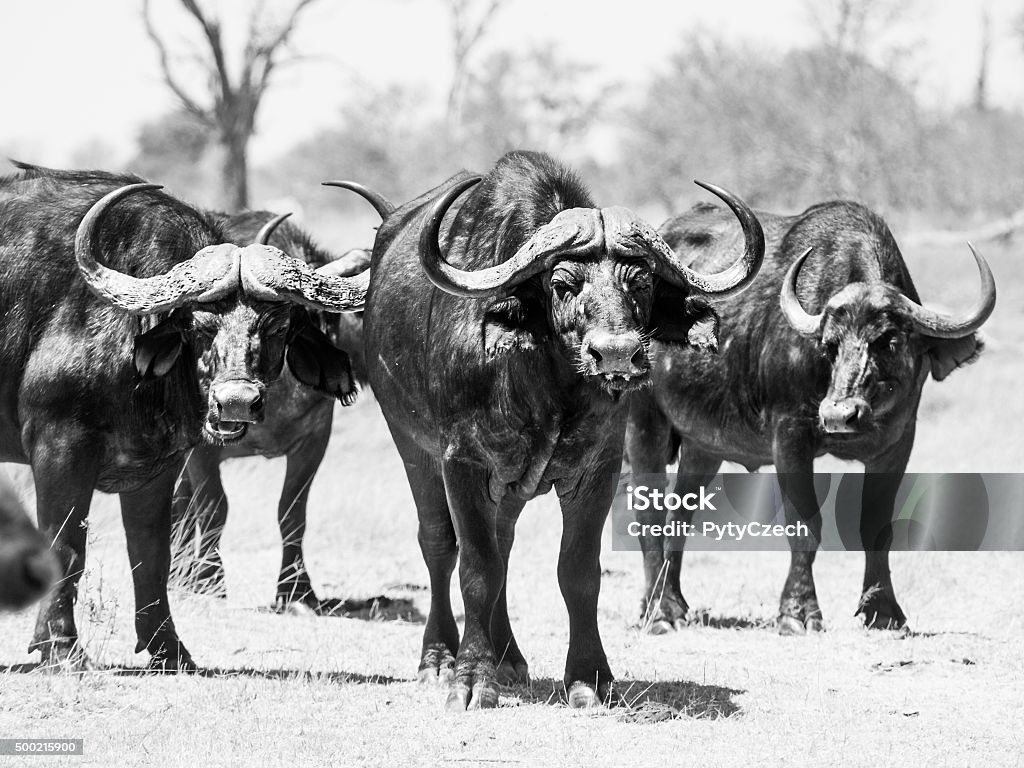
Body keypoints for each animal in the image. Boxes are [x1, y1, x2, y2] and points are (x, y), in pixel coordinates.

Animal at [171, 205, 371, 611]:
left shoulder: (314, 443)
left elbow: (292, 513)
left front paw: (297, 589)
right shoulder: (200, 452)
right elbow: (213, 509)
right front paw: (208, 582)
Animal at [347, 151, 764, 710]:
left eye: (640, 283)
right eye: (563, 284)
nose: (616, 354)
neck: (546, 387)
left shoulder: (598, 471)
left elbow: (577, 572)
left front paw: (589, 676)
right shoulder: (464, 463)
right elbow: (475, 568)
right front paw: (471, 677)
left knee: (502, 544)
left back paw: (509, 659)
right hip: (412, 446)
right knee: (439, 544)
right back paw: (439, 658)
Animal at [626, 200, 994, 634]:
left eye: (890, 340)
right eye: (829, 345)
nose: (837, 415)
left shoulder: (898, 443)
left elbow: (876, 527)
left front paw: (883, 610)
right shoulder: (790, 437)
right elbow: (805, 524)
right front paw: (798, 611)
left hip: (704, 447)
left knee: (678, 515)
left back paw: (673, 602)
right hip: (644, 422)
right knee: (648, 513)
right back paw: (658, 612)